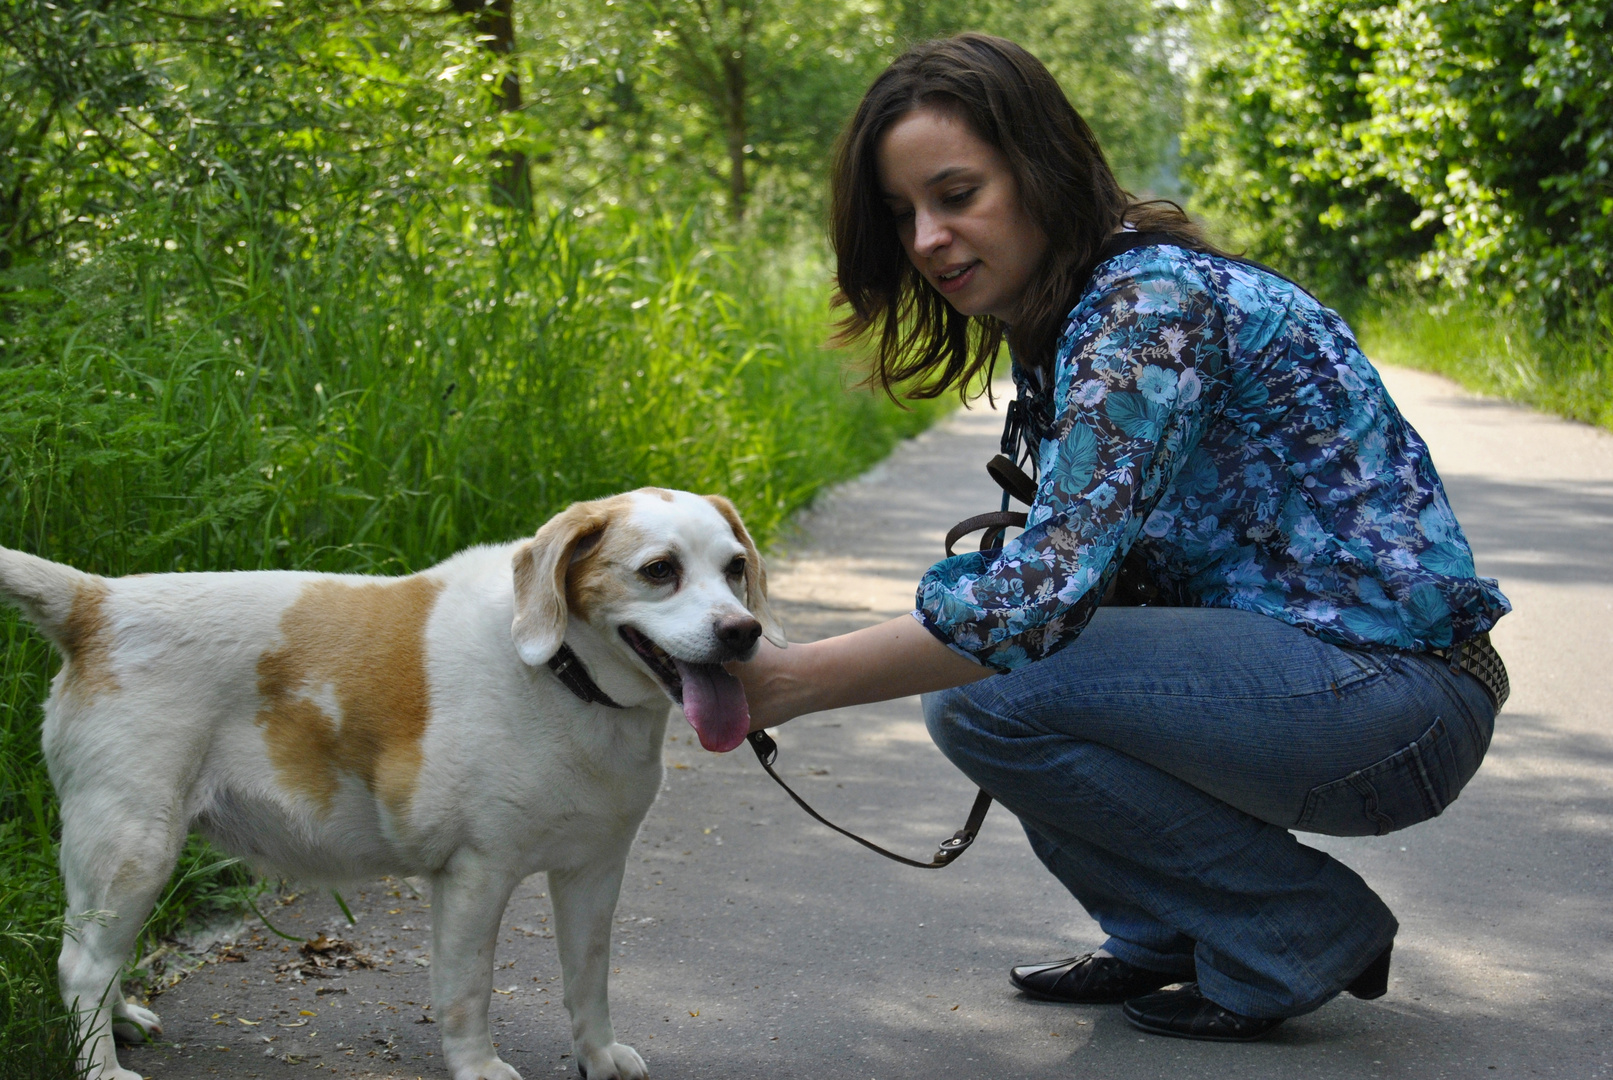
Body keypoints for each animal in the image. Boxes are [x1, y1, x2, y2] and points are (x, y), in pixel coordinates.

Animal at [0, 490, 780, 1080]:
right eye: (659, 570)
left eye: (735, 567)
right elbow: (467, 989)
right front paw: (477, 1068)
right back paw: (101, 1066)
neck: (563, 678)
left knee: (101, 961)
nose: (742, 632)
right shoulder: (475, 874)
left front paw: (597, 1057)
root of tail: (96, 602)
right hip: (133, 846)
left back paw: (122, 1021)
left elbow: (589, 980)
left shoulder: (594, 871)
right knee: (79, 966)